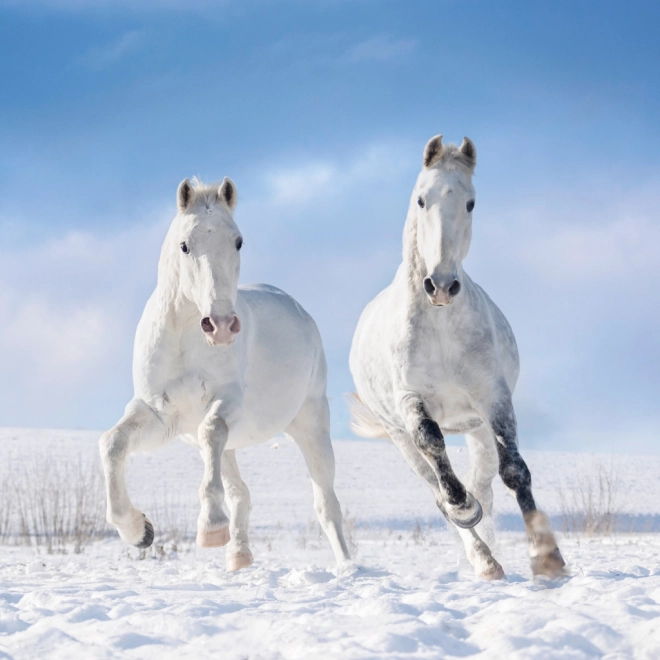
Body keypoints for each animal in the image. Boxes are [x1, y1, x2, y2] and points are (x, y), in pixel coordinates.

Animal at [98, 177, 350, 572]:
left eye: (238, 241)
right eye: (185, 245)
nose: (220, 326)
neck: (185, 337)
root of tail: (297, 308)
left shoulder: (226, 403)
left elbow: (211, 430)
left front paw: (212, 527)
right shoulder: (159, 415)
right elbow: (112, 443)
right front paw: (139, 531)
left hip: (311, 425)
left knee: (326, 505)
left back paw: (348, 568)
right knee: (239, 491)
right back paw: (239, 555)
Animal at [350, 137, 568, 580]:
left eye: (470, 203)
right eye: (421, 199)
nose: (441, 285)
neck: (440, 326)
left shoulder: (493, 398)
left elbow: (513, 470)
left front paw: (547, 557)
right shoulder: (410, 400)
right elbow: (434, 446)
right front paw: (466, 509)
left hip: (476, 427)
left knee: (484, 479)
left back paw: (493, 555)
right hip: (398, 437)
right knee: (436, 489)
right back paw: (483, 558)